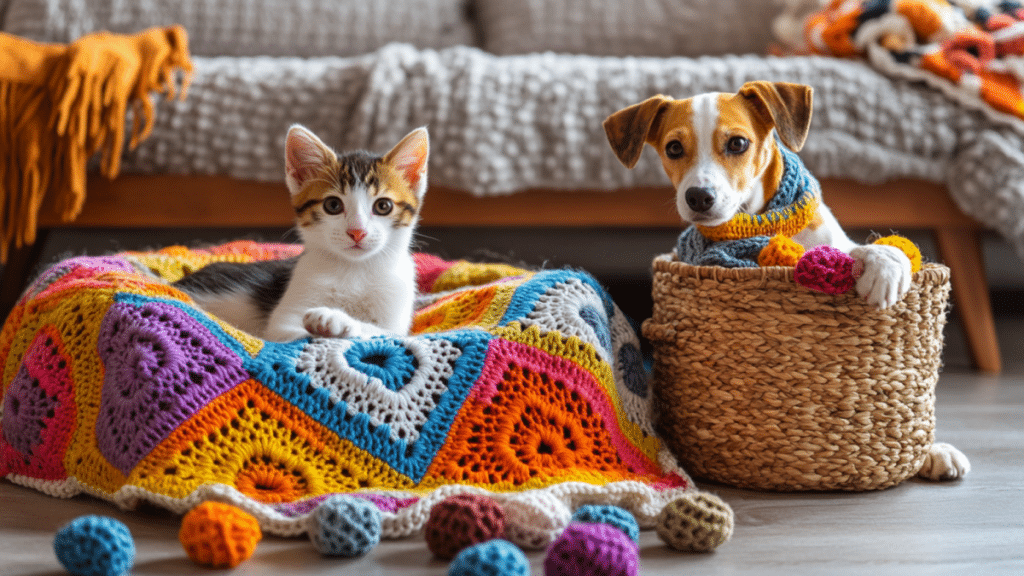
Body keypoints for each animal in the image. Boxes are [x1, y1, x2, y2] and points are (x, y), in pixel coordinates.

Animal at [174, 124, 430, 340]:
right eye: (333, 205)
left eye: (383, 206)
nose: (357, 232)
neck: (354, 269)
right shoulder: (284, 318)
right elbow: (287, 331)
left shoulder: (397, 322)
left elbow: (382, 332)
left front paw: (336, 318)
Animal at [602, 78, 970, 477]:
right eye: (673, 148)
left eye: (737, 143)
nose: (698, 196)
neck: (763, 224)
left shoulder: (835, 243)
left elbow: (859, 249)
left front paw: (885, 264)